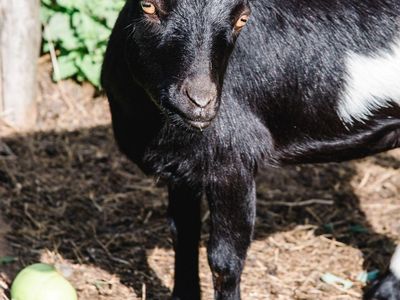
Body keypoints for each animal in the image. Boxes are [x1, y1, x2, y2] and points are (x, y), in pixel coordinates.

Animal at [101, 1, 400, 298]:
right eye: (148, 6)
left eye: (242, 19)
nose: (200, 102)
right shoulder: (182, 167)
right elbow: (183, 233)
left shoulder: (232, 162)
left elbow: (225, 260)